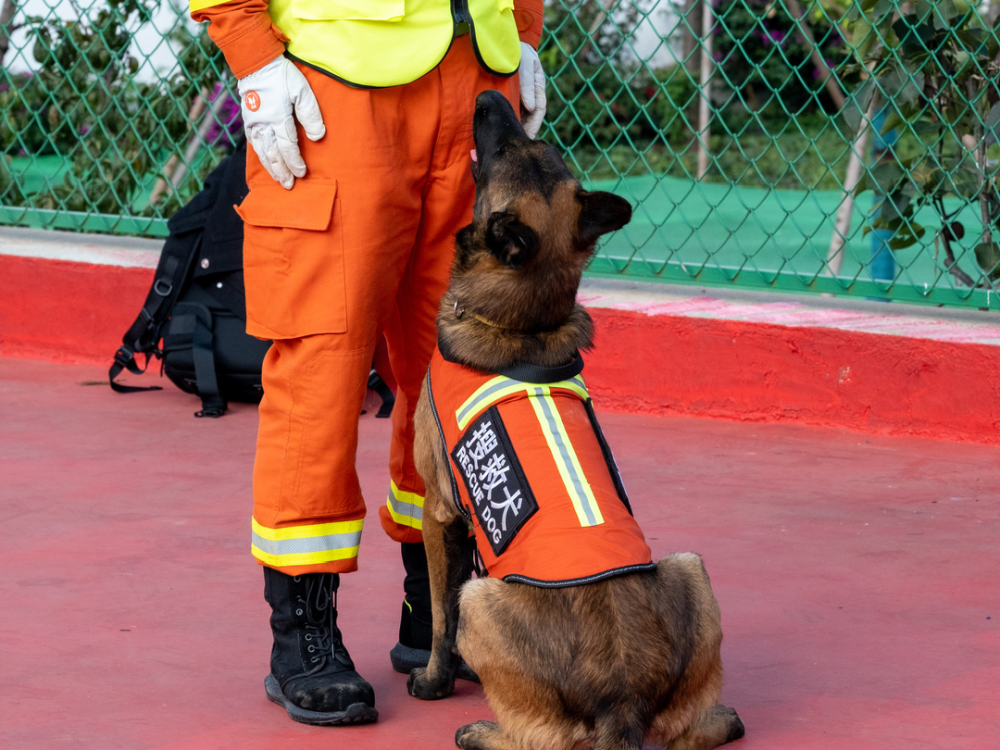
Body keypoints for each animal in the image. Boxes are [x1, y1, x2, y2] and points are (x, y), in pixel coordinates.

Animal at [406, 89, 744, 750]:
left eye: (504, 150)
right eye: (529, 144)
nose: (491, 94)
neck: (521, 320)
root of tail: (623, 701)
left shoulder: (438, 510)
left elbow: (437, 615)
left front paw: (434, 680)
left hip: (484, 597)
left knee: (543, 739)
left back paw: (479, 730)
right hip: (690, 567)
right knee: (711, 726)